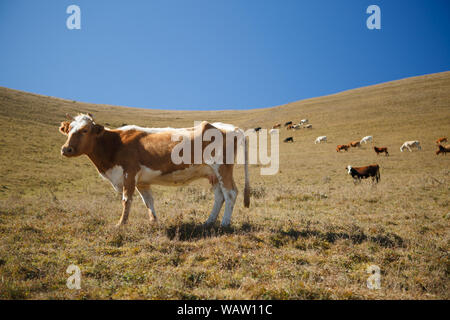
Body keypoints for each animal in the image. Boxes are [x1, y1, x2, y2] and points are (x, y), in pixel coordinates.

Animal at [59, 114, 250, 226]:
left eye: (85, 130)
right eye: (68, 131)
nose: (66, 149)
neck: (114, 143)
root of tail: (232, 127)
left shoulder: (129, 173)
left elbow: (126, 200)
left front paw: (121, 224)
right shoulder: (142, 181)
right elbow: (148, 201)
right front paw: (154, 222)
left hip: (222, 168)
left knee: (230, 193)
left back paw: (224, 224)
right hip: (212, 173)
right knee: (219, 196)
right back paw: (208, 222)